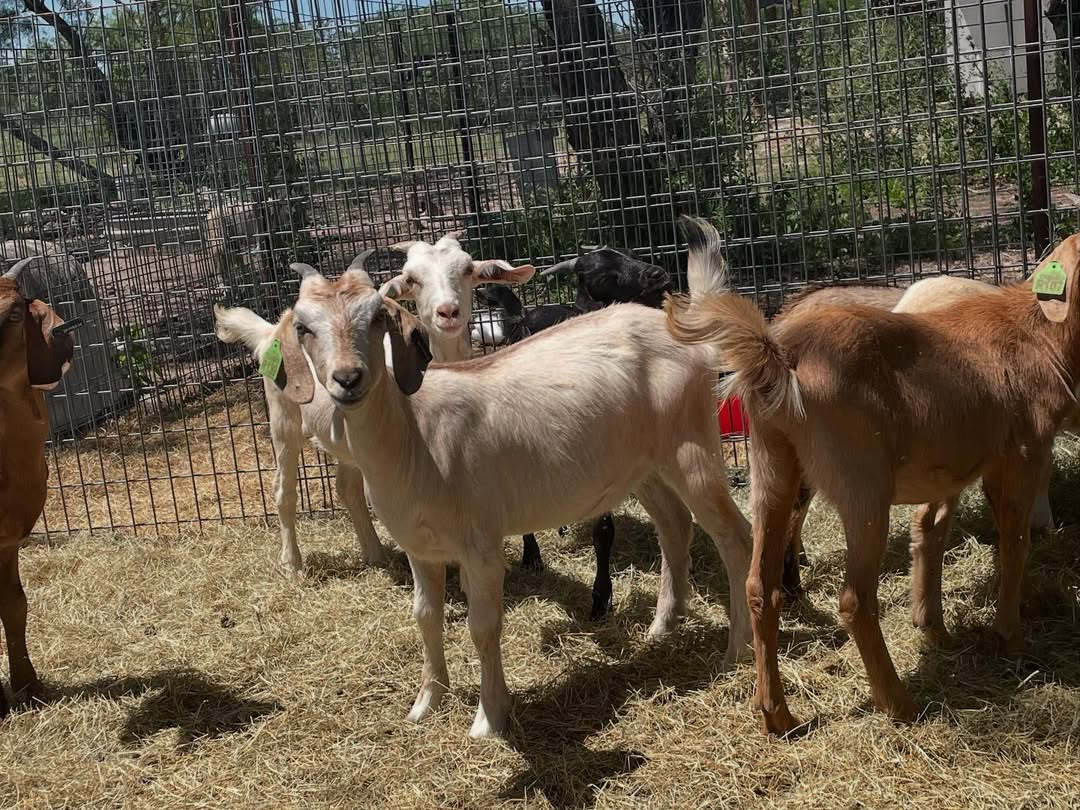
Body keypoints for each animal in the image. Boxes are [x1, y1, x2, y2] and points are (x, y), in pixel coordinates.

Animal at [214, 235, 534, 577]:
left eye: (467, 270)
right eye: (412, 279)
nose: (448, 312)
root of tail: (273, 330)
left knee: (346, 489)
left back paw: (374, 553)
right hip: (283, 419)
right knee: (284, 491)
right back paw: (293, 565)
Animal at [669, 217, 1080, 735]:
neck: (1039, 333)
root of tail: (779, 354)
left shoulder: (950, 466)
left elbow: (932, 529)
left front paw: (934, 627)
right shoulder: (1022, 452)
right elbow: (1014, 542)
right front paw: (1011, 638)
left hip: (772, 471)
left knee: (760, 586)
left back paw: (778, 716)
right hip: (862, 484)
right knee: (855, 599)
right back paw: (899, 703)